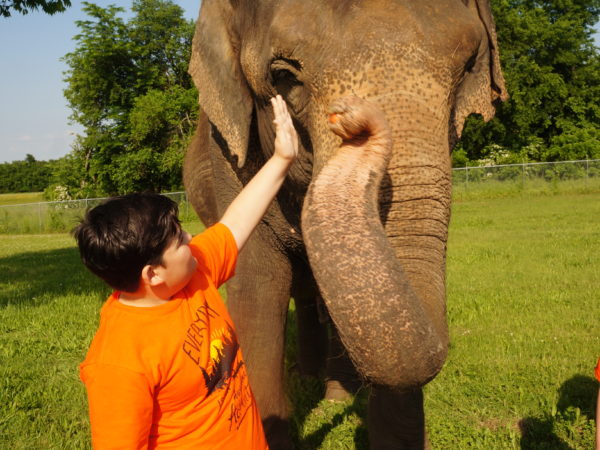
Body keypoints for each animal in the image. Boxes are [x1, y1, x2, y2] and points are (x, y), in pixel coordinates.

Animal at [183, 1, 507, 448]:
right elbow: (259, 286)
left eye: (466, 70)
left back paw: (331, 392)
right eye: (283, 76)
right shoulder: (229, 157)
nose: (355, 116)